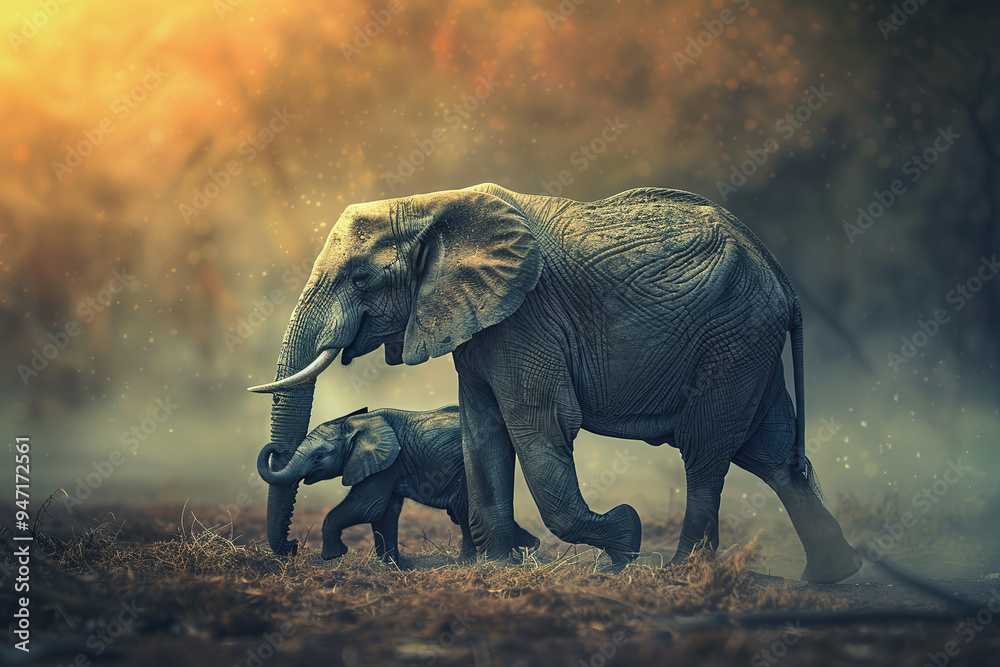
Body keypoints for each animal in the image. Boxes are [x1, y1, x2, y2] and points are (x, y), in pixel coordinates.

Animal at [256, 404, 540, 565]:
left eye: (319, 457)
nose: (293, 545)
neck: (356, 423)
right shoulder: (388, 466)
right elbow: (384, 513)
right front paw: (393, 566)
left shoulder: (387, 464)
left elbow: (367, 507)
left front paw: (333, 556)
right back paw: (530, 547)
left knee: (463, 511)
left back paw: (466, 562)